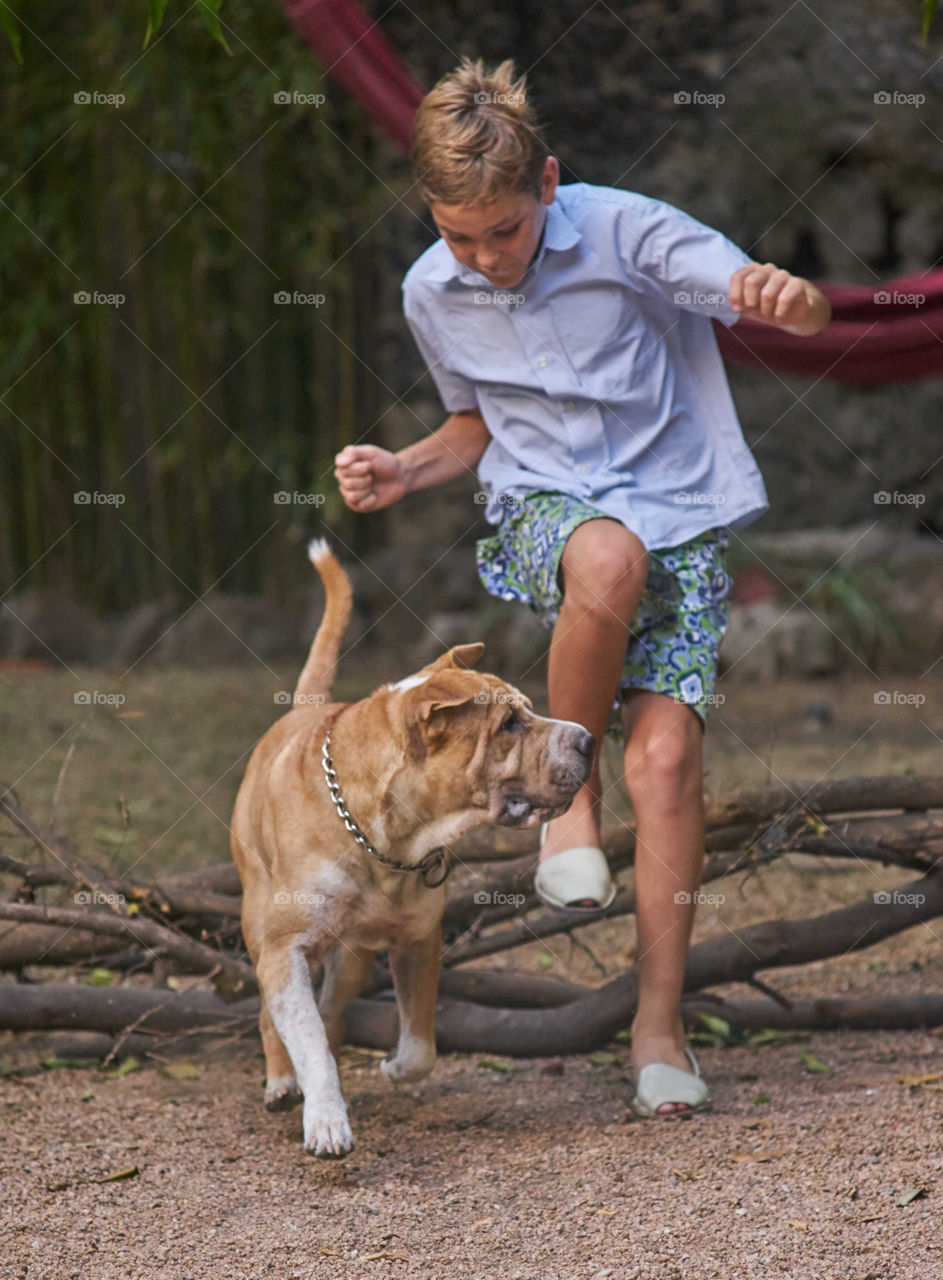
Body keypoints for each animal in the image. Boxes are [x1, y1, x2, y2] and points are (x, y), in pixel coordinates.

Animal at [229, 540, 591, 1162]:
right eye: (510, 724)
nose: (588, 740)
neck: (386, 841)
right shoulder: (284, 948)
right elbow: (308, 1040)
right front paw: (325, 1118)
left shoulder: (419, 940)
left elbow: (420, 1043)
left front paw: (396, 1068)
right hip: (262, 922)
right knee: (277, 1017)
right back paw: (282, 1081)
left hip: (351, 958)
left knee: (332, 1009)